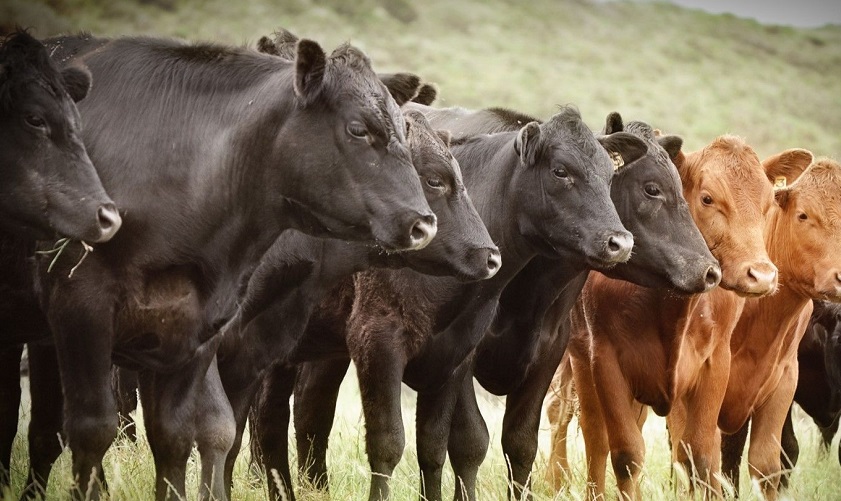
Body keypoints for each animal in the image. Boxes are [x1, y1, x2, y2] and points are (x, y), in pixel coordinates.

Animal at [34, 33, 434, 500]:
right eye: (358, 129)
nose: (424, 223)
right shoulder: (82, 308)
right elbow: (102, 427)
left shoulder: (211, 334)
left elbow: (204, 431)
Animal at [268, 110, 716, 500]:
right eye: (651, 188)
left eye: (610, 178)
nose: (710, 269)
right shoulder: (390, 342)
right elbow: (465, 441)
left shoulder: (540, 354)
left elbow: (514, 443)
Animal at [556, 136, 780, 500]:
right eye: (707, 198)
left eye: (768, 202)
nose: (761, 275)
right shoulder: (604, 360)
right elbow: (626, 455)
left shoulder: (715, 363)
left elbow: (700, 455)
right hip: (580, 360)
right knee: (596, 440)